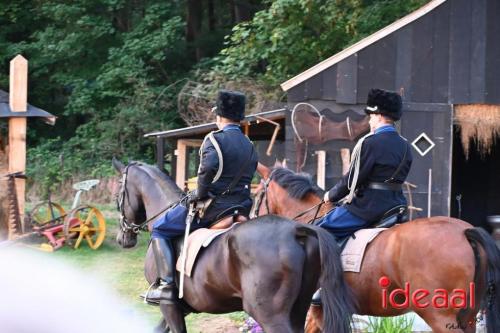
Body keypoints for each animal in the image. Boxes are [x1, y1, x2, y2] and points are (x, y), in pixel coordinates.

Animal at [112, 159, 356, 332]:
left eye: (118, 195)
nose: (123, 239)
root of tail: (297, 230)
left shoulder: (169, 306)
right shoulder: (180, 308)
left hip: (271, 316)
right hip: (298, 311)